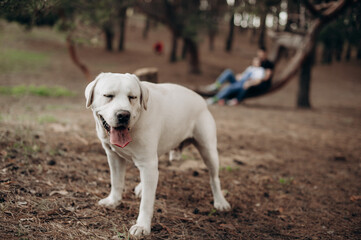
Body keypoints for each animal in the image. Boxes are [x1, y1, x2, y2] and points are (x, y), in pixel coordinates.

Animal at [86, 72, 229, 236]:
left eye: (132, 97)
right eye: (108, 95)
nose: (123, 115)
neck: (134, 125)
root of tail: (201, 99)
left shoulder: (147, 164)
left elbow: (147, 202)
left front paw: (142, 226)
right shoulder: (114, 157)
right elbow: (116, 181)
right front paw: (113, 201)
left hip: (208, 151)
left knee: (214, 178)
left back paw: (220, 201)